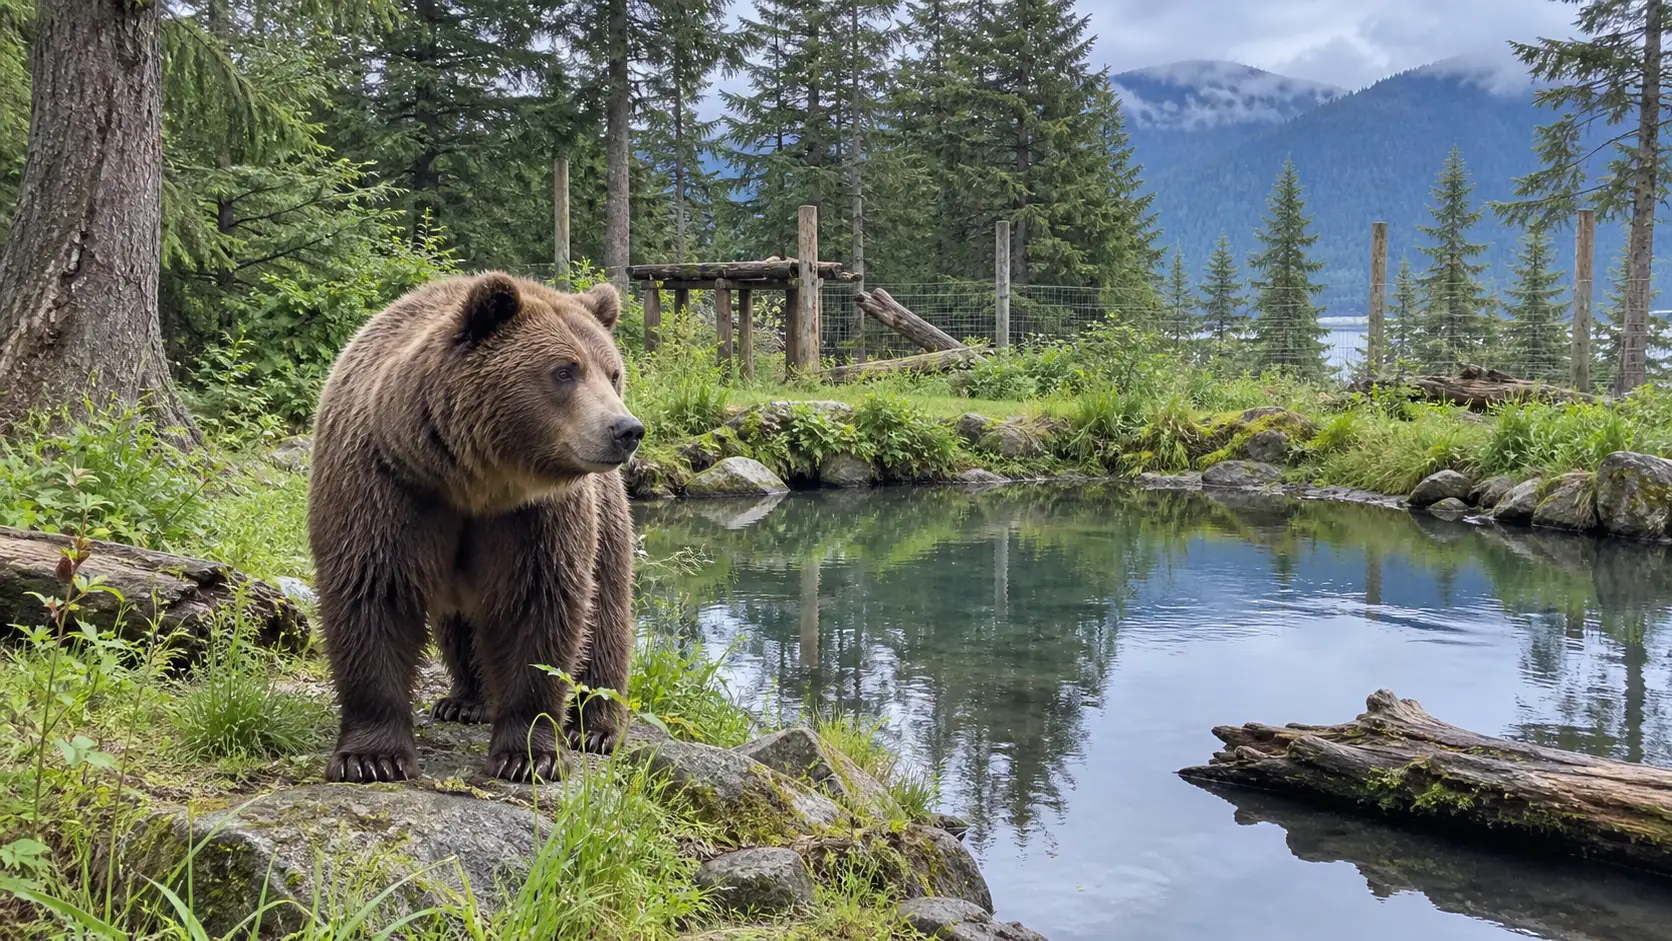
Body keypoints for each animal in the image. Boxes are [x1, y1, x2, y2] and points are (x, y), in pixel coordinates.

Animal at [305, 271, 643, 783]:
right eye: (565, 371)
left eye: (613, 372)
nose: (625, 430)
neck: (472, 482)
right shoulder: (386, 485)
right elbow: (373, 593)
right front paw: (371, 757)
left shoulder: (536, 516)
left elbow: (538, 605)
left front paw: (529, 755)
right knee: (461, 625)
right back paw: (465, 700)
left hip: (606, 514)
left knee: (604, 611)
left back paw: (596, 726)